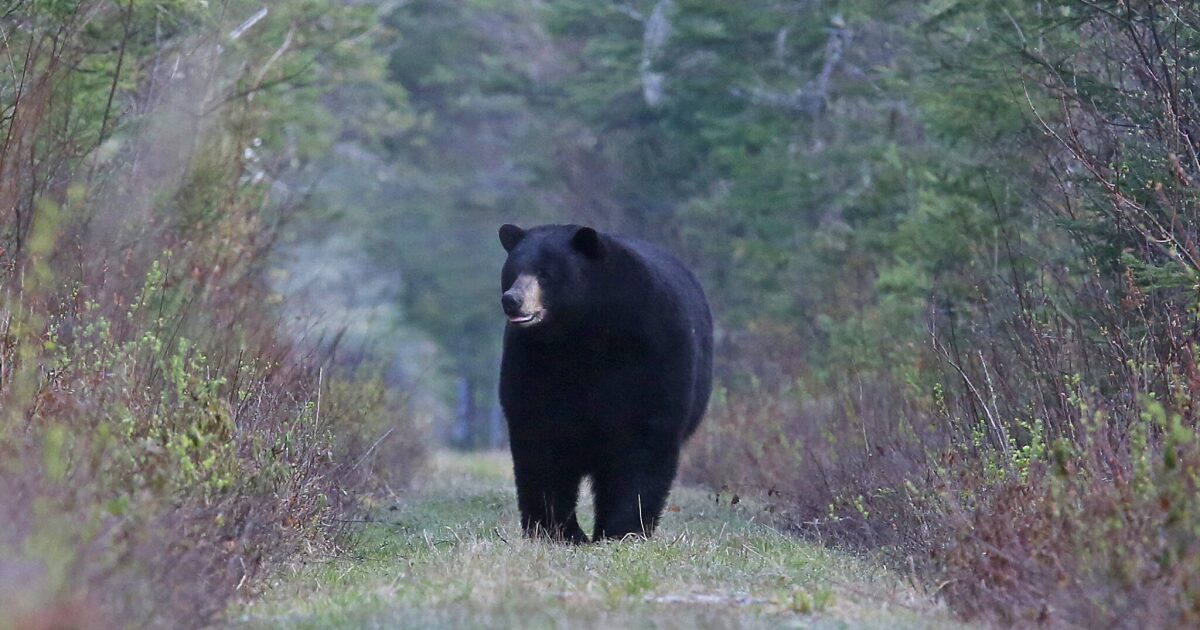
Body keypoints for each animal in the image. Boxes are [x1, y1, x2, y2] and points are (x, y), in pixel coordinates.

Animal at [497, 223, 713, 542]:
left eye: (545, 274)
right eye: (512, 272)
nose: (512, 300)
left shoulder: (650, 349)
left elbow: (643, 441)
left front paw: (623, 529)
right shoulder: (533, 362)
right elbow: (542, 442)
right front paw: (556, 530)